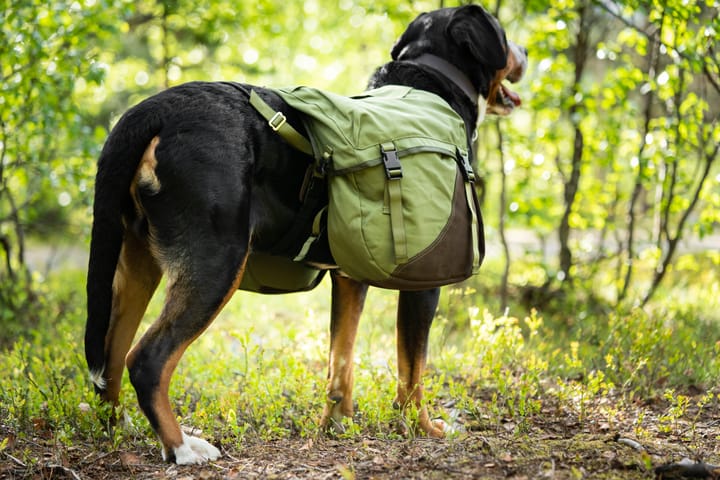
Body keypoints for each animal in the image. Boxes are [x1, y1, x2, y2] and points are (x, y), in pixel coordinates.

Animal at [84, 4, 524, 464]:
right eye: (502, 33)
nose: (524, 51)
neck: (429, 84)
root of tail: (157, 107)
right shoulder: (424, 284)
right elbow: (412, 371)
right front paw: (423, 429)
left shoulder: (348, 278)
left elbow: (340, 360)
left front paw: (338, 426)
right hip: (216, 262)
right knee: (147, 359)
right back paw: (182, 447)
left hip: (136, 263)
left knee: (111, 356)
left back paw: (120, 430)